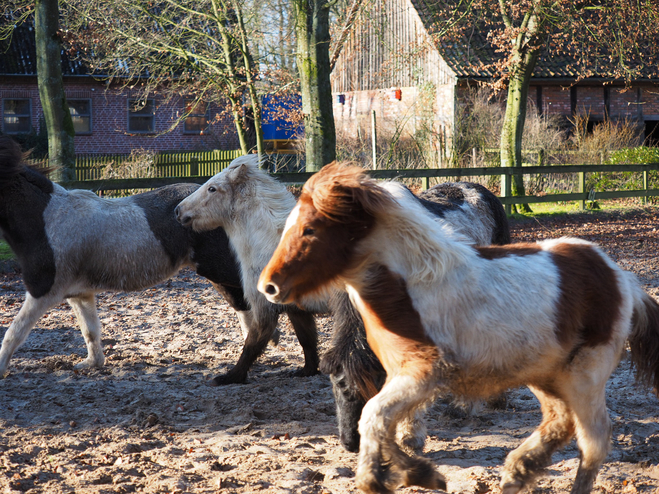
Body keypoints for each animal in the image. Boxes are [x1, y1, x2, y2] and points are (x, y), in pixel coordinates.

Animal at [260, 162, 659, 494]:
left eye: (309, 229)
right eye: (335, 384)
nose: (269, 286)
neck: (412, 286)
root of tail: (622, 277)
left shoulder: (422, 374)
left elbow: (375, 416)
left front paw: (395, 473)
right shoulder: (399, 375)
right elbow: (381, 421)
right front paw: (419, 473)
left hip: (585, 373)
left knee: (594, 442)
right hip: (547, 372)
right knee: (560, 422)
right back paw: (516, 472)